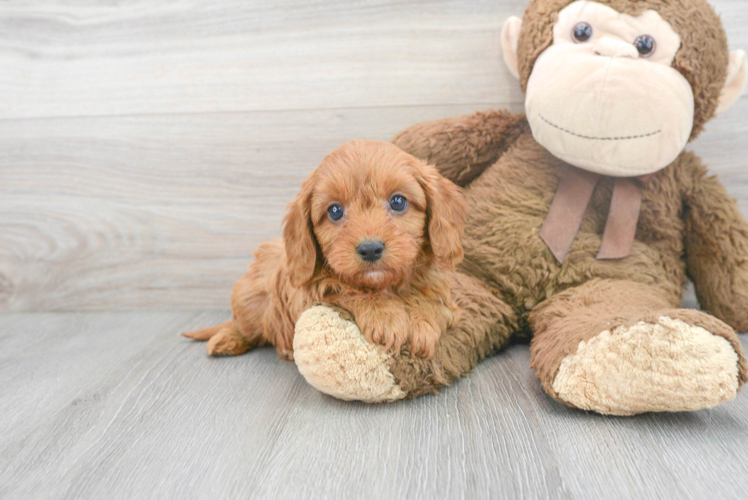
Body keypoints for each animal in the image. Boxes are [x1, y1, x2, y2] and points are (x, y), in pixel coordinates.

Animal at [184, 139, 464, 362]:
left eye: (398, 202)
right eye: (335, 211)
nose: (370, 249)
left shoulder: (442, 291)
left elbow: (431, 299)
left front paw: (420, 323)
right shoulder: (311, 290)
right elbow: (347, 288)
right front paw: (385, 316)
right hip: (249, 302)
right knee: (244, 326)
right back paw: (227, 339)